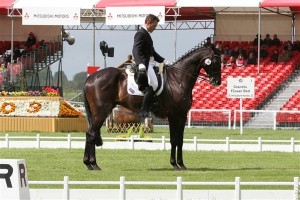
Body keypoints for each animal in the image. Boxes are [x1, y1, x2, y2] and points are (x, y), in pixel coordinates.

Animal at [83, 46, 221, 170]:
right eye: (215, 62)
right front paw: (175, 164)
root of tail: (90, 78)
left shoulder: (181, 115)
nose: (217, 82)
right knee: (91, 133)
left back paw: (91, 164)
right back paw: (92, 164)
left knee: (91, 133)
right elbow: (174, 139)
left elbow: (180, 140)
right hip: (101, 112)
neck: (178, 79)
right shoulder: (174, 115)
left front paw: (180, 164)